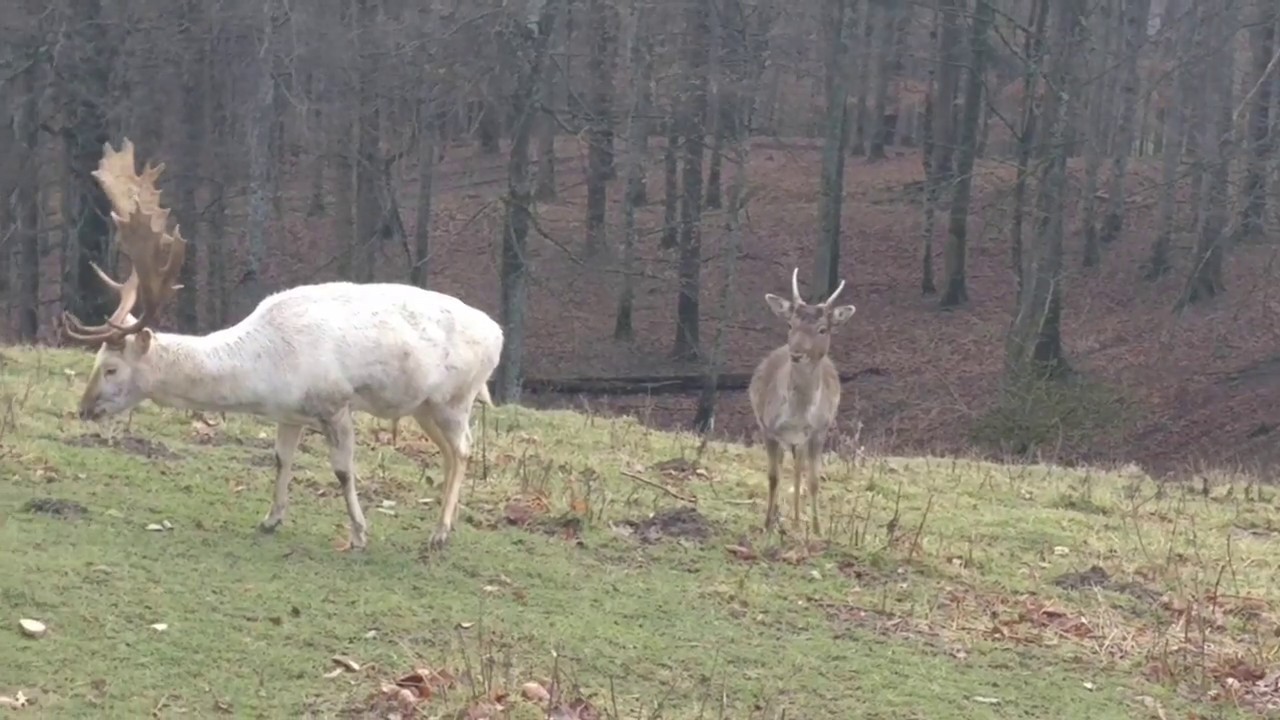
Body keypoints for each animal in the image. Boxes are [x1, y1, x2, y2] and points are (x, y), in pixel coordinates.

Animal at [60, 138, 504, 553]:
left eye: (111, 368)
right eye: (96, 360)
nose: (84, 409)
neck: (265, 371)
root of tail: (498, 334)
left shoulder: (335, 403)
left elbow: (343, 471)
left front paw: (359, 534)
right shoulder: (289, 413)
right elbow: (280, 458)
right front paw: (270, 519)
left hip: (455, 397)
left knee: (463, 449)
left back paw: (439, 532)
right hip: (424, 406)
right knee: (449, 452)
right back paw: (446, 527)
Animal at [748, 268, 856, 536]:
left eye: (822, 329)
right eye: (790, 324)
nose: (796, 353)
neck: (798, 414)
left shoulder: (819, 431)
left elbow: (814, 480)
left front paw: (817, 530)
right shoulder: (768, 428)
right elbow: (773, 477)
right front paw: (767, 524)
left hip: (802, 441)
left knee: (799, 468)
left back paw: (797, 520)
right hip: (784, 436)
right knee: (787, 466)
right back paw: (782, 518)